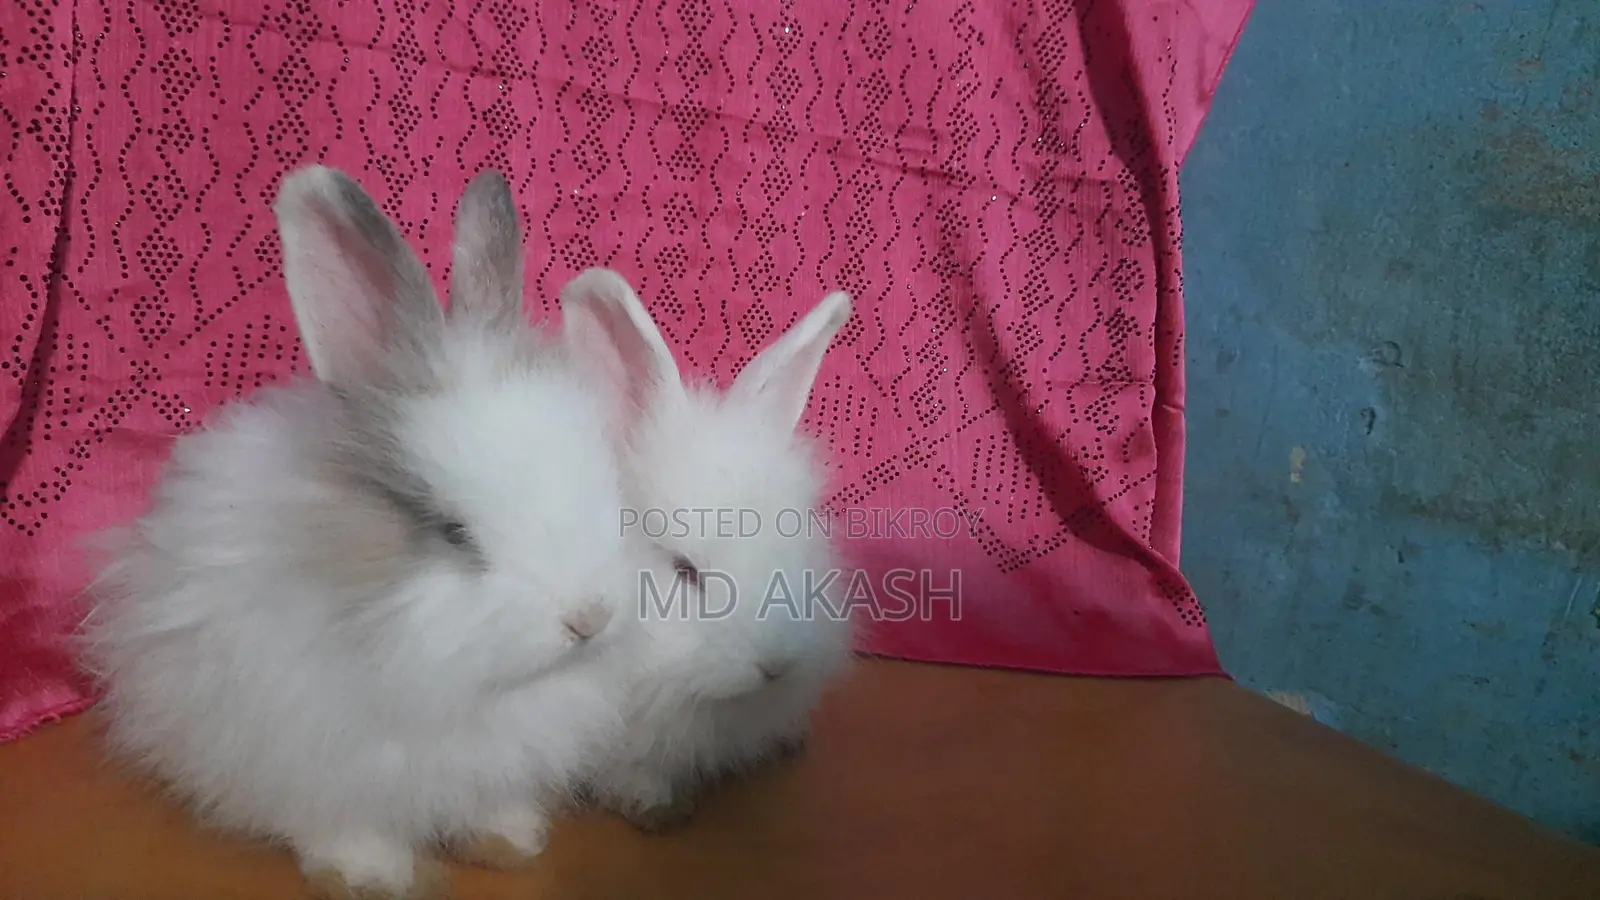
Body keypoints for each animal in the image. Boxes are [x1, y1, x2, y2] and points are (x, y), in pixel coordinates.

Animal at [76, 167, 641, 899]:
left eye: (603, 488)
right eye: (452, 532)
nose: (589, 618)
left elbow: (488, 802)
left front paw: (510, 839)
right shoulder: (308, 754)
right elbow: (342, 821)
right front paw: (368, 874)